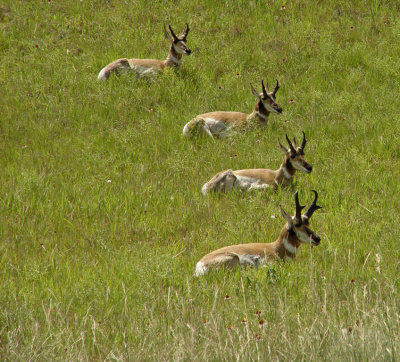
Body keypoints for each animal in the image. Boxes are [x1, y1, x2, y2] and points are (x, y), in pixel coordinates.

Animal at [195, 191, 324, 276]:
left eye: (307, 222)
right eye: (297, 224)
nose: (317, 238)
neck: (277, 248)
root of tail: (199, 264)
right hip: (233, 258)